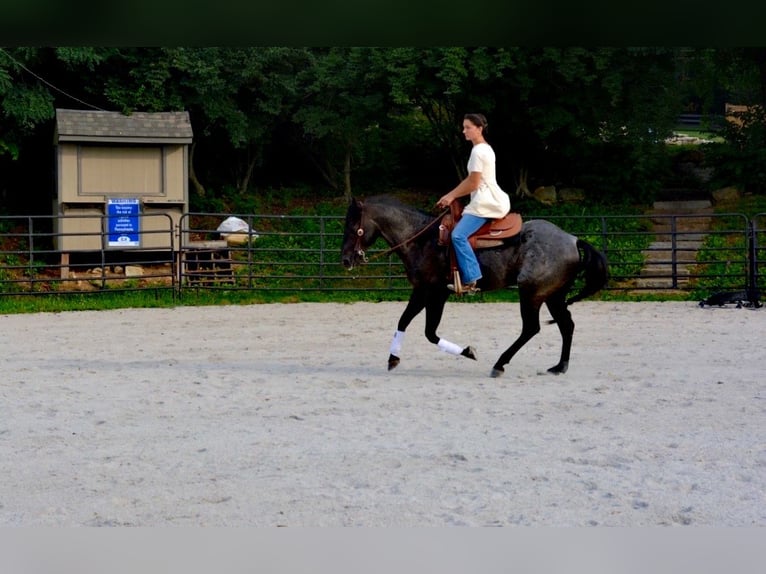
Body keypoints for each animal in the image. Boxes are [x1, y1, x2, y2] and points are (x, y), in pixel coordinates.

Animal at [342, 196, 612, 380]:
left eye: (353, 226)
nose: (345, 260)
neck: (423, 239)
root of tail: (573, 240)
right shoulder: (428, 292)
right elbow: (410, 323)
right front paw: (394, 358)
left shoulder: (432, 292)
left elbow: (423, 329)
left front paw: (467, 352)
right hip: (553, 295)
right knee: (566, 325)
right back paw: (559, 366)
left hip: (531, 293)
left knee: (531, 328)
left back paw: (500, 364)